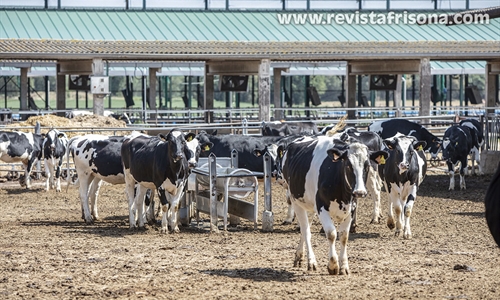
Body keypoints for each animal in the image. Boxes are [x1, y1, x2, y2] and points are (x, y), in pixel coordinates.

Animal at [282, 135, 386, 274]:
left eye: (367, 165)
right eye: (348, 165)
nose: (360, 192)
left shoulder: (351, 209)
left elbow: (344, 236)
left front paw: (344, 266)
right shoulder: (321, 207)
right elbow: (331, 234)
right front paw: (333, 265)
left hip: (308, 205)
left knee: (305, 229)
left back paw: (299, 256)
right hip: (296, 201)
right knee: (305, 230)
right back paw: (311, 261)